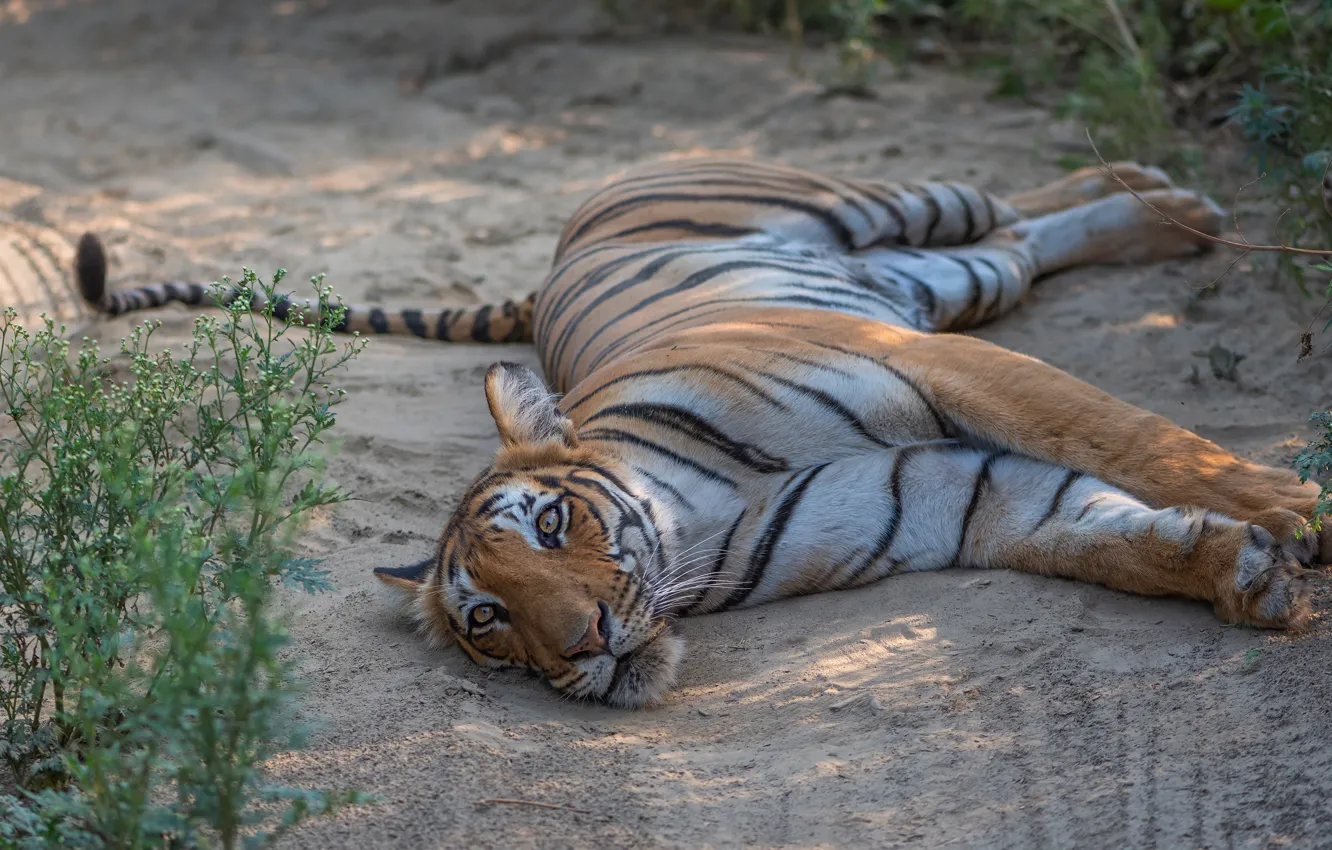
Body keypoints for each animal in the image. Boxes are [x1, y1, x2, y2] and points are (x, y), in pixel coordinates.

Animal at [74, 156, 1327, 709]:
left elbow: (1127, 436)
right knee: (1021, 240)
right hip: (950, 274)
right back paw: (1170, 214)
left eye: (553, 522)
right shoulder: (966, 497)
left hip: (882, 212)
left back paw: (1174, 203)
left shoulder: (932, 364)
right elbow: (1107, 532)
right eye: (486, 620)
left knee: (1015, 197)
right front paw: (1246, 573)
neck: (706, 519)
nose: (582, 642)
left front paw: (1293, 506)